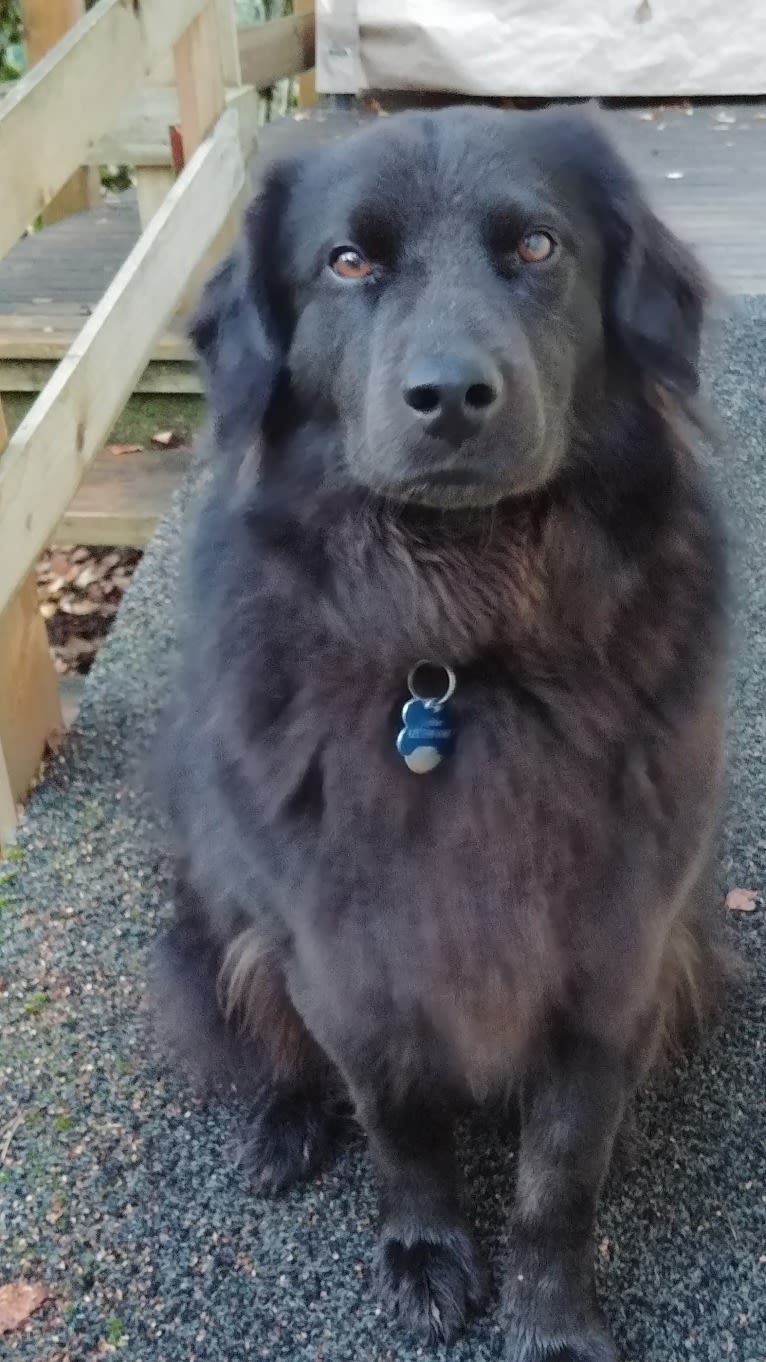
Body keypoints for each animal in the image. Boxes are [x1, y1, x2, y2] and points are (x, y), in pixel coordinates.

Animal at [150, 108, 725, 1362]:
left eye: (538, 247)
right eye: (345, 262)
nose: (452, 395)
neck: (459, 647)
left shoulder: (611, 954)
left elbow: (560, 1171)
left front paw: (550, 1319)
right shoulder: (345, 953)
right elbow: (398, 1121)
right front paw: (422, 1248)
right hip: (218, 901)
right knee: (258, 1015)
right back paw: (285, 1123)